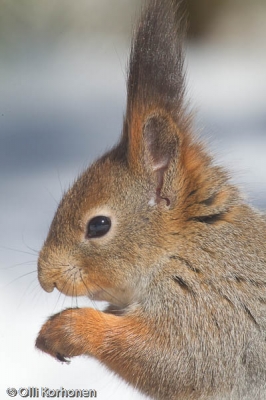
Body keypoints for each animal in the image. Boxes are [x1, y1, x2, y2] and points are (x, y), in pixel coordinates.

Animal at [35, 0, 266, 400]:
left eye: (99, 225)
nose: (44, 277)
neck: (186, 247)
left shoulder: (206, 310)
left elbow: (172, 361)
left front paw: (70, 328)